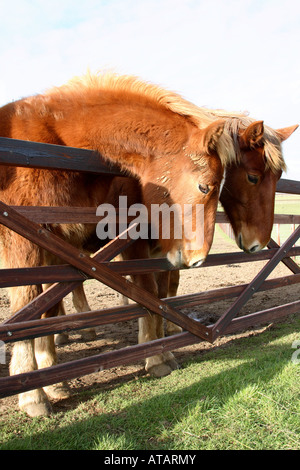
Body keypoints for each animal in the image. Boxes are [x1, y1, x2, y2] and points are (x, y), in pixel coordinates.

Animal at [0, 71, 230, 416]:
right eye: (205, 186)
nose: (199, 257)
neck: (52, 143)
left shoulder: (58, 241)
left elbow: (150, 293)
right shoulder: (24, 240)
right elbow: (28, 305)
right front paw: (34, 394)